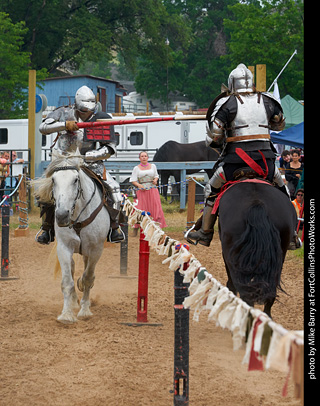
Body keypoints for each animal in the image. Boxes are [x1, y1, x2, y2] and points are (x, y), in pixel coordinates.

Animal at [32, 152, 110, 324]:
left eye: (75, 180)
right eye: (53, 180)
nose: (61, 215)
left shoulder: (96, 250)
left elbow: (88, 278)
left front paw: (85, 311)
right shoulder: (64, 247)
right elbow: (67, 282)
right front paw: (67, 314)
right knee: (73, 268)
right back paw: (74, 301)